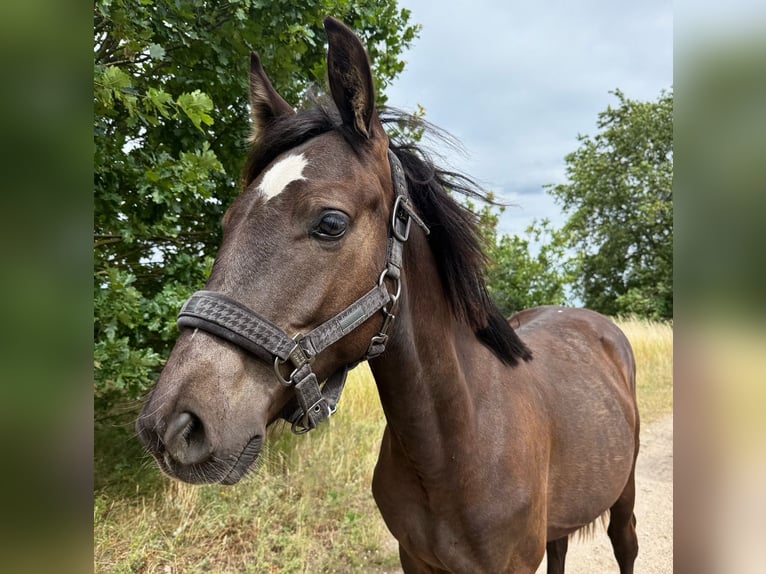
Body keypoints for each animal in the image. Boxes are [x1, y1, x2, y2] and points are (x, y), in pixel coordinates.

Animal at [136, 17, 640, 573]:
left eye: (330, 223)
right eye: (228, 221)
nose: (173, 426)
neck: (454, 452)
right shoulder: (412, 557)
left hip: (625, 496)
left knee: (625, 544)